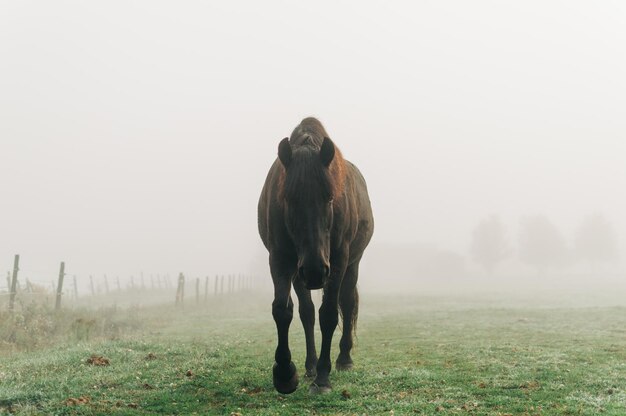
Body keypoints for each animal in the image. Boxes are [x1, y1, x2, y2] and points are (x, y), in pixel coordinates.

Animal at [258, 116, 372, 394]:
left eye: (329, 198)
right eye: (288, 199)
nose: (314, 271)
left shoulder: (338, 261)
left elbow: (329, 314)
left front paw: (323, 377)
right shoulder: (280, 259)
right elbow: (283, 310)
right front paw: (285, 373)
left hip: (350, 264)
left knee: (347, 303)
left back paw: (343, 359)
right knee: (307, 313)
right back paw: (309, 365)